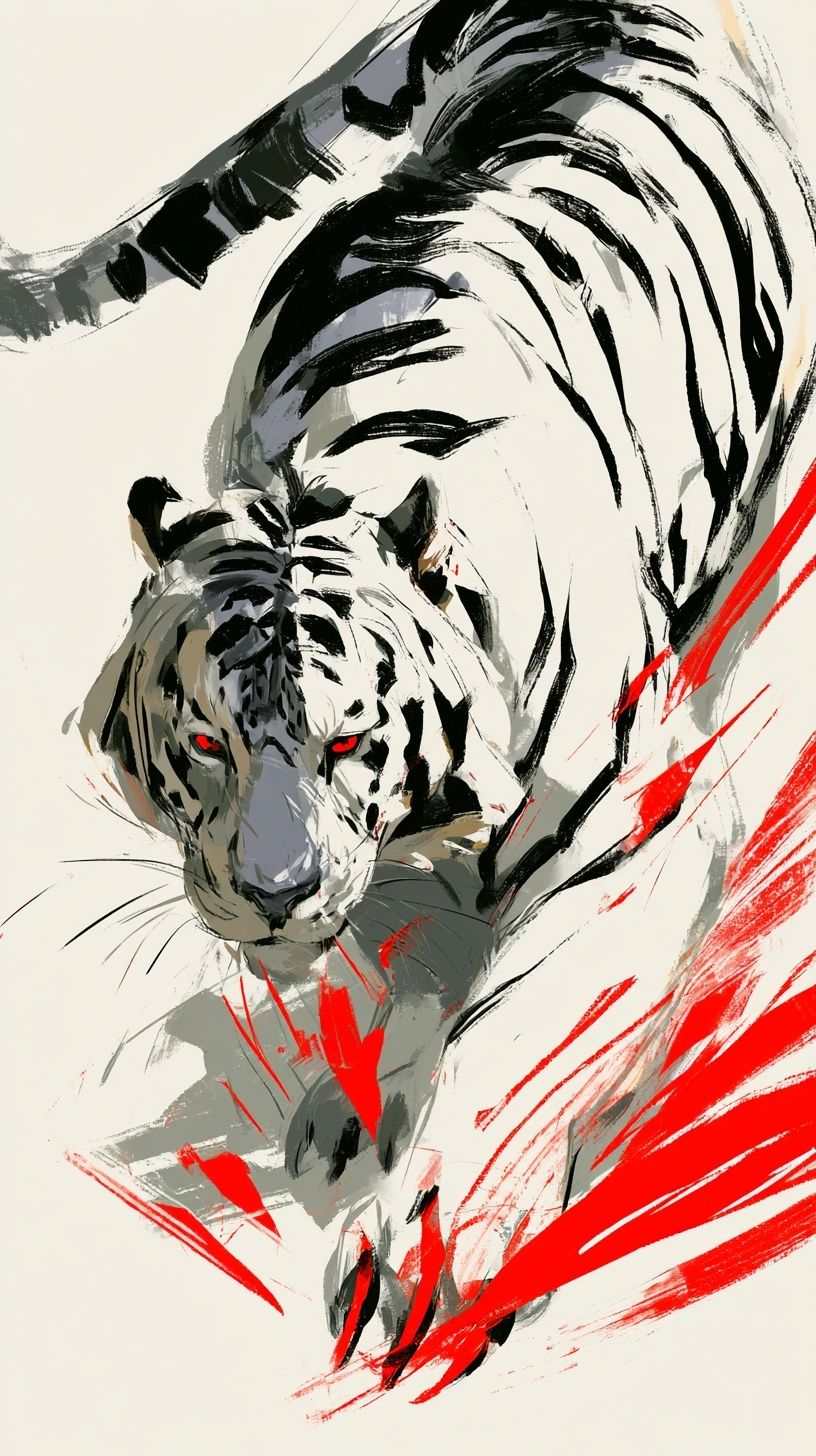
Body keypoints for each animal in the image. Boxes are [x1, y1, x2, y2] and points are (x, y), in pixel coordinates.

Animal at [13, 0, 815, 1372]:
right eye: (208, 743)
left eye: (349, 743)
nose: (273, 895)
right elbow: (397, 970)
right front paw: (357, 1110)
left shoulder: (624, 835)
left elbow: (524, 1032)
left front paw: (435, 1243)